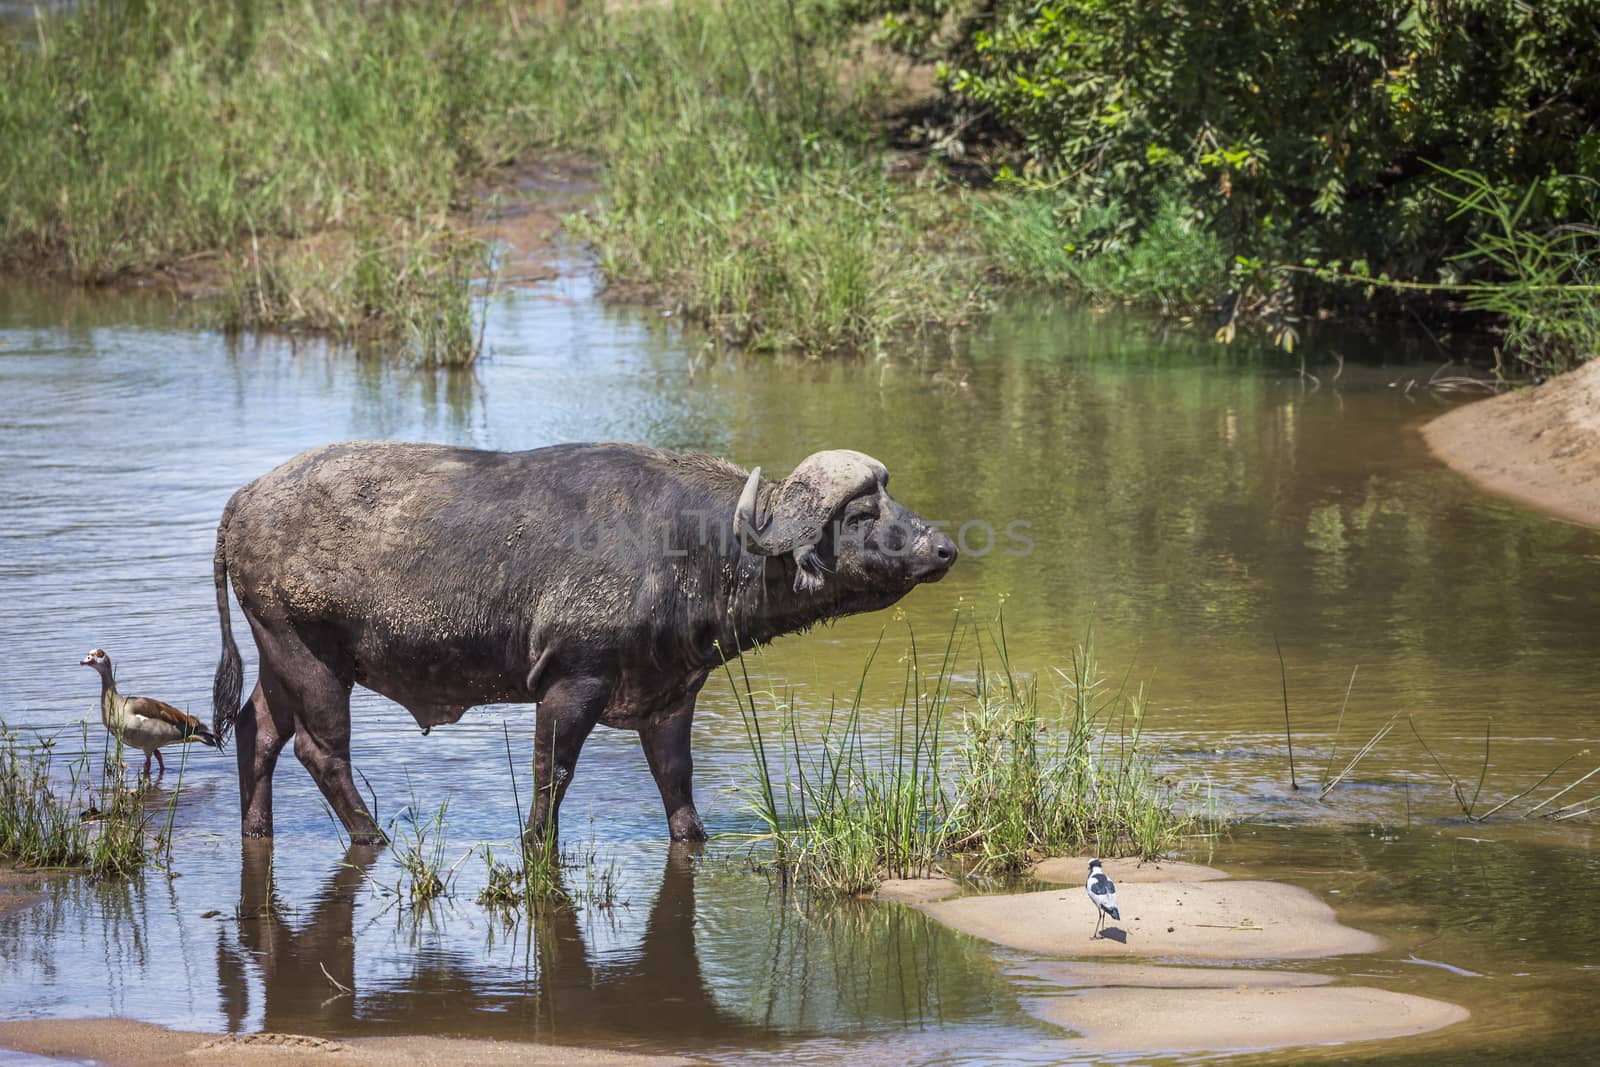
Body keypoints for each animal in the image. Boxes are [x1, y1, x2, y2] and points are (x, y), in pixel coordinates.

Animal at [217, 441, 953, 844]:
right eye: (861, 513)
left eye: (891, 498)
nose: (943, 546)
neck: (689, 546)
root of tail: (244, 498)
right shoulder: (572, 684)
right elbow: (553, 774)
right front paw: (537, 844)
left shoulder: (670, 698)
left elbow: (676, 778)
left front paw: (694, 837)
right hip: (308, 654)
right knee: (320, 750)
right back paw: (372, 836)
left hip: (280, 657)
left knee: (258, 730)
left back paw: (257, 828)